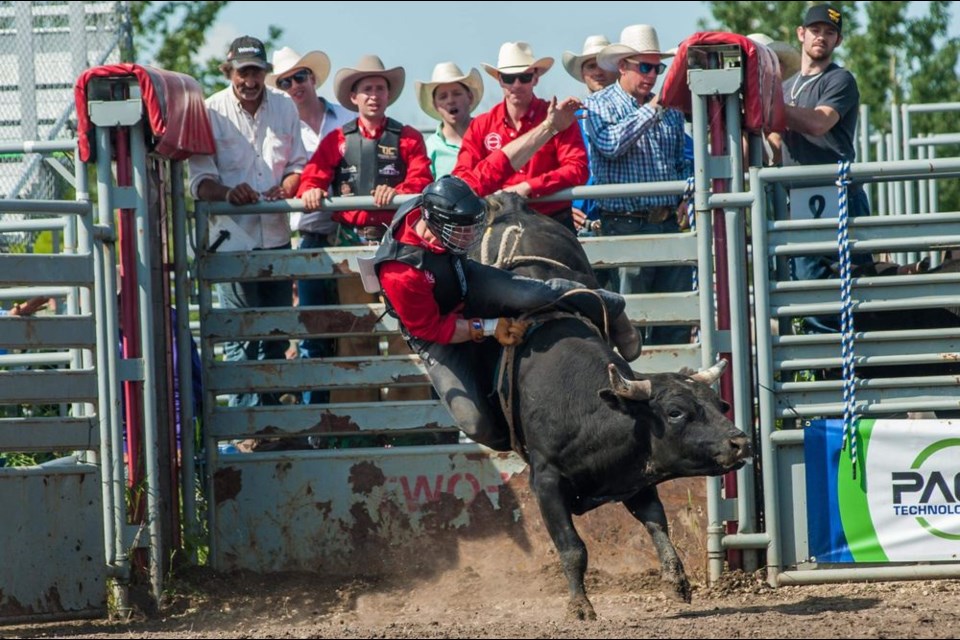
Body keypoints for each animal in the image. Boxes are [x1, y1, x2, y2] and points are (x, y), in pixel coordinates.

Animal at [468, 195, 752, 620]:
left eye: (720, 403)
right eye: (675, 412)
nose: (740, 442)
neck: (589, 411)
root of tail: (508, 207)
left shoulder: (636, 473)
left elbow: (657, 523)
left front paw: (677, 582)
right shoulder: (545, 482)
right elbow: (572, 547)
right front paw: (581, 606)